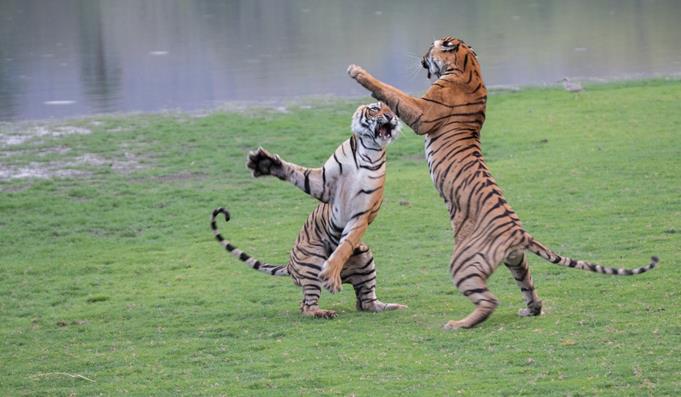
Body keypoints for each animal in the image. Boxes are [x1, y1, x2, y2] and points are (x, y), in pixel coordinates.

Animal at [210, 103, 406, 318]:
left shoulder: (361, 214)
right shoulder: (323, 184)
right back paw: (324, 311)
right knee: (306, 306)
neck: (368, 151)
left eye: (392, 111)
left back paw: (392, 306)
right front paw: (265, 163)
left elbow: (343, 247)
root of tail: (289, 265)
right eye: (375, 109)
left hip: (365, 258)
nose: (390, 117)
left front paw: (330, 275)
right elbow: (297, 173)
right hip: (313, 259)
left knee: (364, 302)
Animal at [348, 36, 656, 328]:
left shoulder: (423, 112)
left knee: (489, 301)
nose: (422, 59)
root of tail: (520, 234)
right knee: (529, 288)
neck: (469, 66)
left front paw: (358, 72)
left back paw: (458, 324)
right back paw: (529, 310)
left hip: (463, 264)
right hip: (516, 260)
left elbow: (393, 92)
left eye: (428, 49)